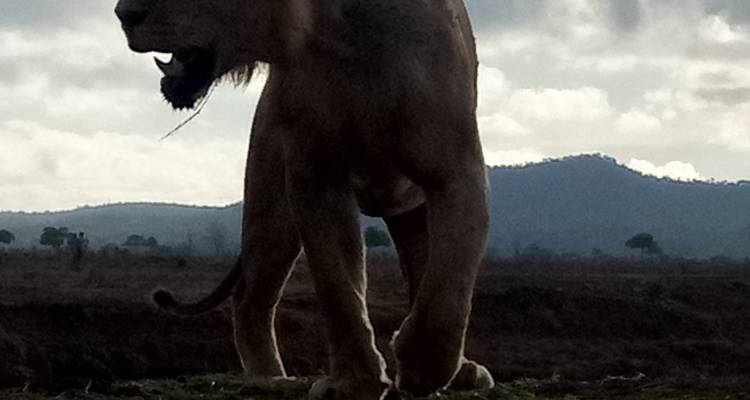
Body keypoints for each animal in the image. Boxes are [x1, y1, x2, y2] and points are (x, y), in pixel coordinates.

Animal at [115, 0, 493, 398]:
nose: (123, 15)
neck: (338, 38)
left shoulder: (457, 174)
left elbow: (448, 286)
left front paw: (423, 368)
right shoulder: (315, 179)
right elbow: (338, 288)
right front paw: (354, 383)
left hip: (408, 212)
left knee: (422, 267)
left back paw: (463, 370)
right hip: (271, 212)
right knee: (250, 300)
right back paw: (271, 380)